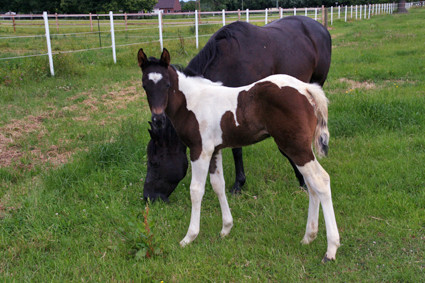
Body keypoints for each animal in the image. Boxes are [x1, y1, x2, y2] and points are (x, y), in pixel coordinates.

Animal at [137, 49, 340, 264]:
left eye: (167, 84)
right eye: (145, 85)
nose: (158, 119)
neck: (192, 102)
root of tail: (306, 88)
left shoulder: (200, 150)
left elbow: (196, 190)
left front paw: (189, 237)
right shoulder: (214, 150)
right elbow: (218, 185)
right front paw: (226, 228)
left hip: (296, 148)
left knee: (320, 181)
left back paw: (330, 250)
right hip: (301, 149)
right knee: (311, 185)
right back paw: (308, 237)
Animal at [142, 16, 332, 202]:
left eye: (154, 162)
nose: (148, 197)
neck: (230, 62)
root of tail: (319, 27)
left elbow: (239, 149)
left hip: (317, 82)